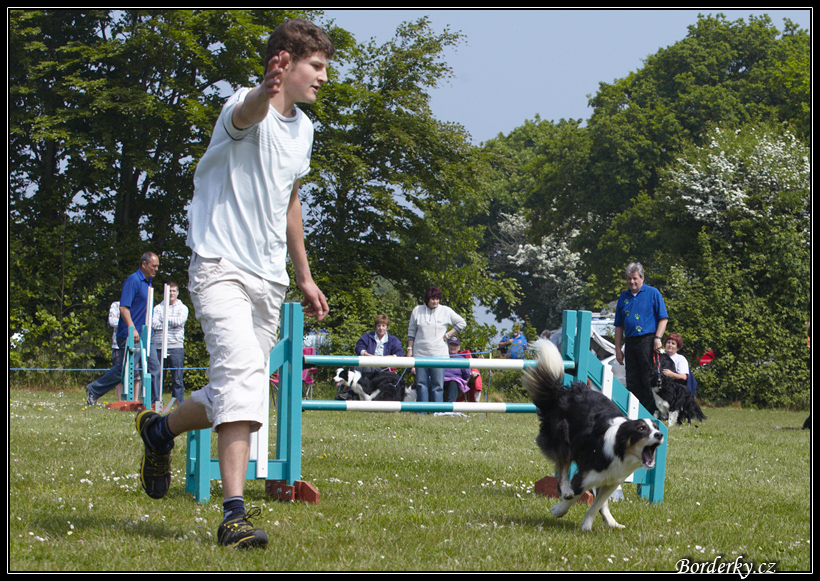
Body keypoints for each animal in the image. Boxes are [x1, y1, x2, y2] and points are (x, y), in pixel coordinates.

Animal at [524, 338, 668, 532]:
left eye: (655, 426)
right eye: (641, 429)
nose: (660, 435)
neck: (619, 450)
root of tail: (563, 391)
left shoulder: (612, 481)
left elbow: (597, 505)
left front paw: (586, 525)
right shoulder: (585, 476)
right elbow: (575, 496)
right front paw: (559, 510)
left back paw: (612, 522)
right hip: (563, 437)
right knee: (563, 467)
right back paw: (565, 489)